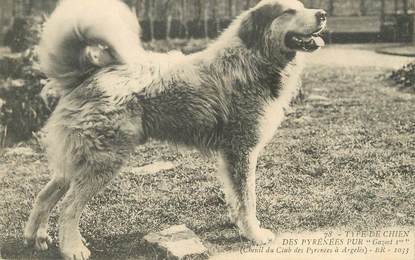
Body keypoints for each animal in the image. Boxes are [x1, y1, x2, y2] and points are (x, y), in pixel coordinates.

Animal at [24, 1, 326, 258]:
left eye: (302, 6)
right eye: (288, 11)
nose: (322, 14)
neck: (251, 57)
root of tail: (87, 74)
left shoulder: (230, 156)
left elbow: (235, 195)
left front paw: (237, 222)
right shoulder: (242, 151)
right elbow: (247, 198)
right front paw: (254, 233)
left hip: (78, 160)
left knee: (45, 195)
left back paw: (36, 238)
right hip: (103, 161)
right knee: (68, 207)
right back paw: (72, 248)